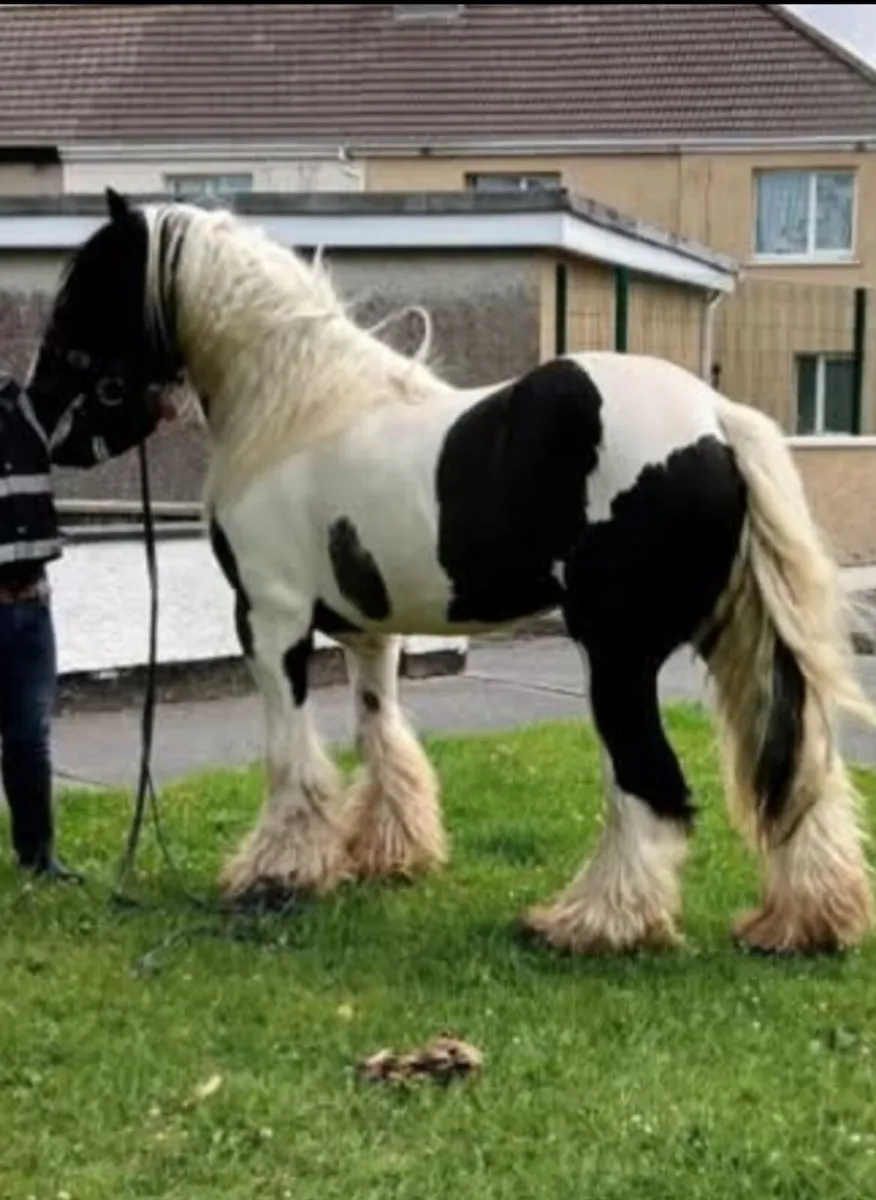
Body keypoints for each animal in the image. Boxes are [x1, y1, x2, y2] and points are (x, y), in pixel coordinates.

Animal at [25, 186, 876, 957]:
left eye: (83, 296)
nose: (41, 418)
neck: (300, 408)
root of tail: (717, 424)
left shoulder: (270, 620)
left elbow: (292, 754)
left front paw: (277, 874)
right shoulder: (368, 633)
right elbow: (380, 735)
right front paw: (387, 855)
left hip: (617, 656)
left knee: (647, 781)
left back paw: (592, 925)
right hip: (734, 644)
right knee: (798, 775)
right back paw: (800, 924)